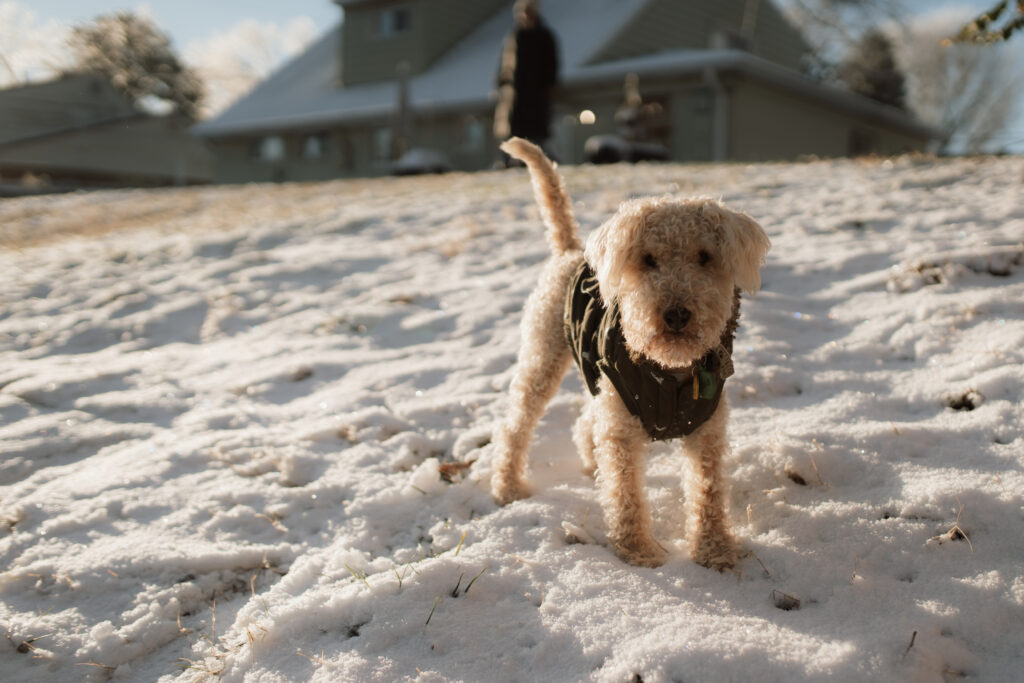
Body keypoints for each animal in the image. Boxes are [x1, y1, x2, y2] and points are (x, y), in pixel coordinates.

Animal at [489, 136, 770, 569]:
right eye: (648, 259)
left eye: (705, 257)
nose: (676, 313)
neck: (670, 374)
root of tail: (571, 250)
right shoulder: (621, 427)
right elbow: (626, 494)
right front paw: (638, 552)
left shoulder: (707, 430)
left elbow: (707, 491)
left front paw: (715, 549)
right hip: (544, 355)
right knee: (516, 425)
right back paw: (507, 486)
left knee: (584, 423)